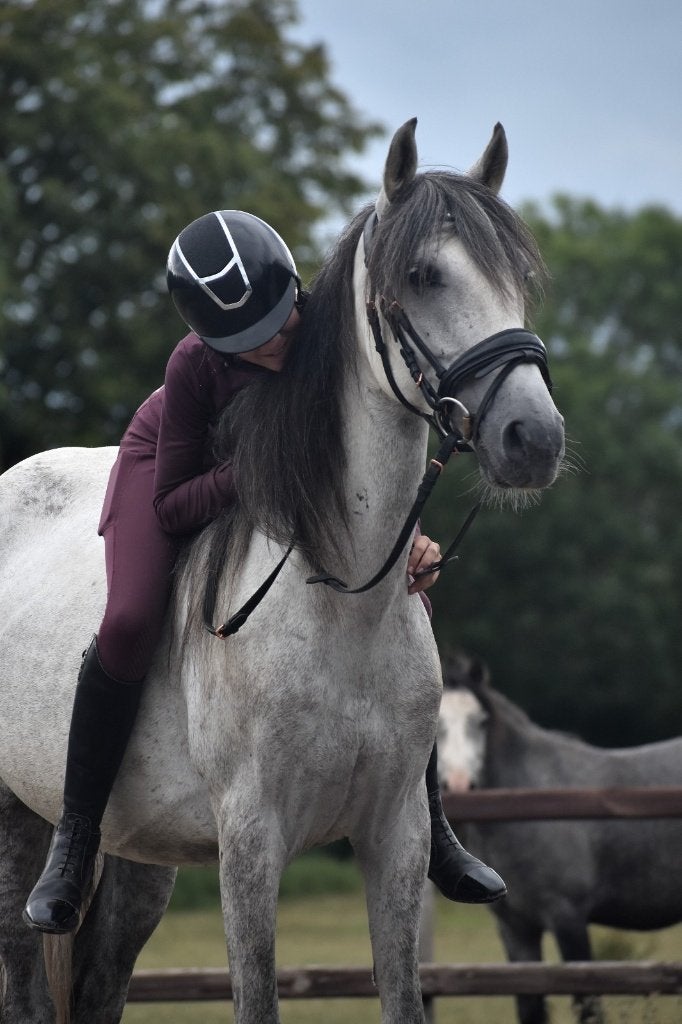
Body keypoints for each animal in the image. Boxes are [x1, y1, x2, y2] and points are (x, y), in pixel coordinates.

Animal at [437, 654, 682, 1024]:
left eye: (480, 721)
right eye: (436, 723)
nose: (459, 784)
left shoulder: (568, 919)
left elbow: (588, 1004)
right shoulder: (516, 930)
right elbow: (530, 1006)